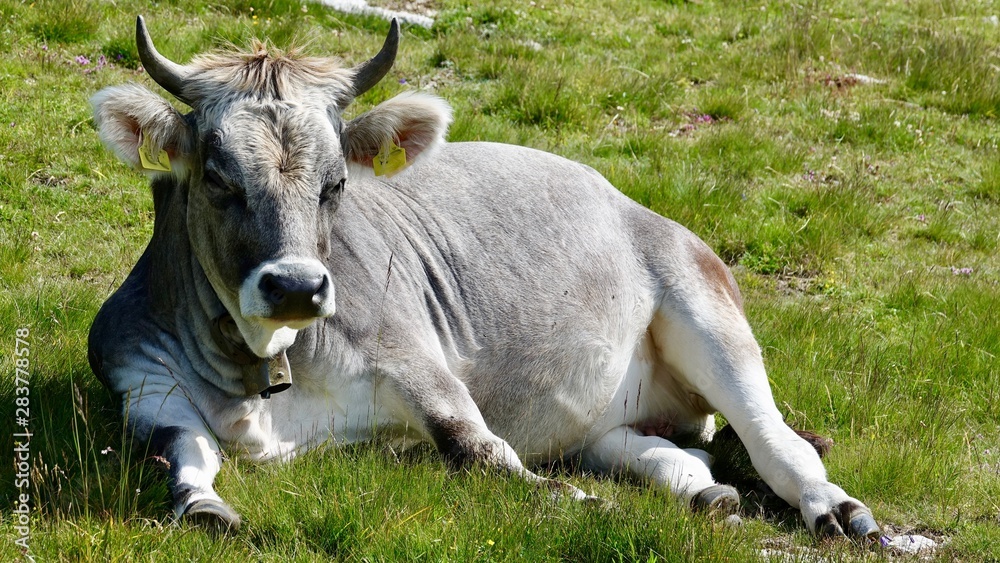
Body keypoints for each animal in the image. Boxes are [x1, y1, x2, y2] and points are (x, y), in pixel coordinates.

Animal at [88, 16, 880, 539]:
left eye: (336, 183)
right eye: (217, 178)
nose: (296, 288)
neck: (262, 372)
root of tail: (629, 200)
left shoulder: (415, 360)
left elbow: (478, 447)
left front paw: (571, 503)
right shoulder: (142, 384)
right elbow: (184, 469)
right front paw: (208, 505)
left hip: (705, 306)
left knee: (775, 437)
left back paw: (836, 508)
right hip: (601, 416)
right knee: (654, 448)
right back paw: (703, 492)